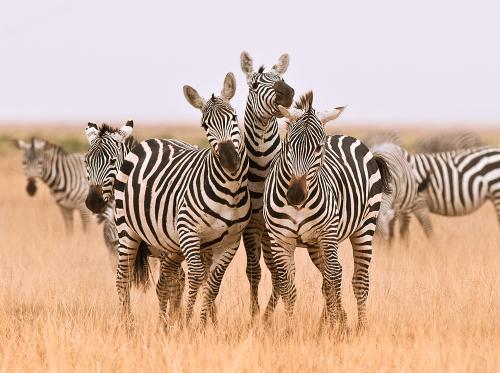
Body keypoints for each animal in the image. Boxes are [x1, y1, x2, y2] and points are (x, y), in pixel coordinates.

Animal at [115, 72, 252, 322]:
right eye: (205, 125)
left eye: (234, 117)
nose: (229, 160)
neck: (230, 191)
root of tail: (152, 140)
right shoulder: (188, 230)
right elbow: (196, 275)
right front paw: (189, 322)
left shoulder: (231, 241)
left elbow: (213, 283)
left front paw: (203, 323)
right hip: (127, 229)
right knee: (123, 277)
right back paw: (127, 324)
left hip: (169, 243)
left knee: (165, 281)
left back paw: (164, 323)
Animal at [264, 92, 392, 332]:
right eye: (288, 145)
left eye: (318, 148)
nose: (295, 195)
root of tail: (347, 137)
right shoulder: (280, 239)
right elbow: (288, 287)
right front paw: (289, 331)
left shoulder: (327, 234)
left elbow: (334, 279)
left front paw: (335, 328)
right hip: (316, 244)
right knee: (328, 277)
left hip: (363, 228)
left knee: (355, 279)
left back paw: (358, 327)